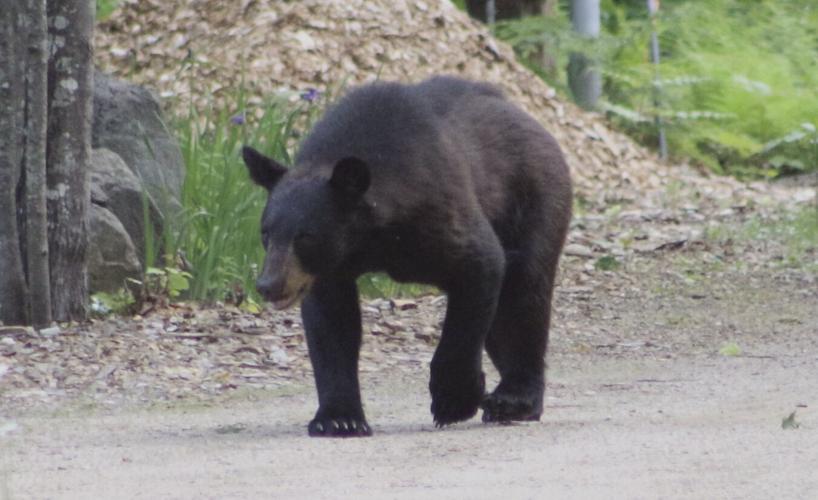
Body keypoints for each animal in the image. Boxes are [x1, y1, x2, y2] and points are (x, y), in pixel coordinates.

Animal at [242, 76, 572, 437]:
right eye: (266, 233)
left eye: (306, 237)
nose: (269, 284)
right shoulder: (329, 268)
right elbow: (331, 325)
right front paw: (338, 419)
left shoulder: (438, 207)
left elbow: (479, 267)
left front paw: (452, 400)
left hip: (533, 202)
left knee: (522, 298)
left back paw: (513, 400)